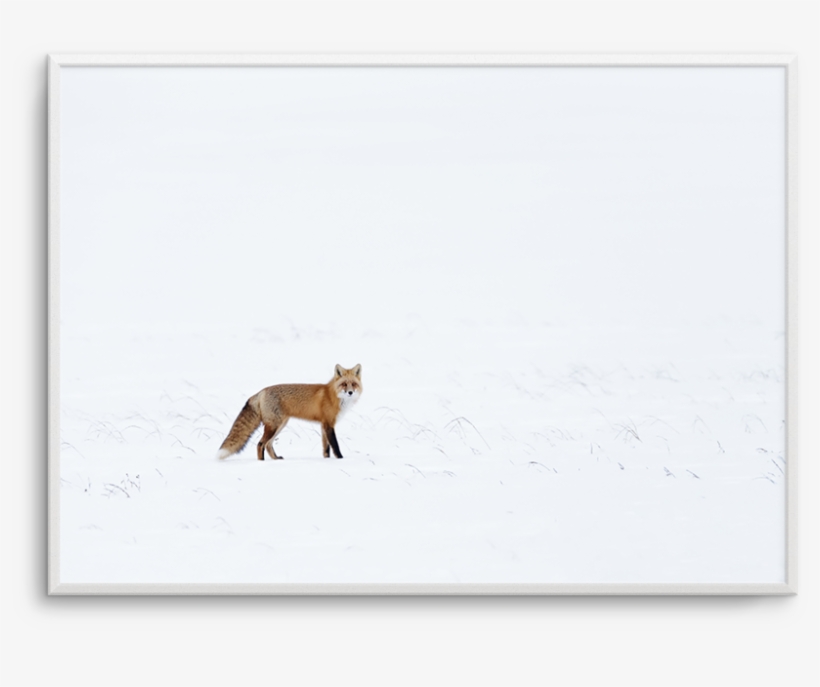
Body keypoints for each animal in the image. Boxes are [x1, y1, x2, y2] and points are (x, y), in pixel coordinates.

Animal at [216, 364, 362, 461]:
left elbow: (326, 448)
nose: (350, 392)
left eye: (354, 384)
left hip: (280, 425)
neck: (333, 395)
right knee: (260, 444)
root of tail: (261, 391)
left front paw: (327, 460)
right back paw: (262, 463)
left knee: (268, 444)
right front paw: (341, 460)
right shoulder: (328, 424)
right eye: (344, 384)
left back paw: (276, 459)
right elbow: (335, 446)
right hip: (274, 426)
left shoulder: (323, 425)